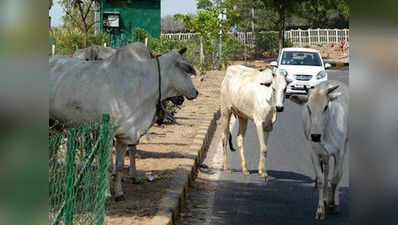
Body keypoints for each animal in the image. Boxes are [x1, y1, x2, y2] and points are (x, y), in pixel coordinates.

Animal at [50, 43, 199, 200]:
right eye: (185, 70)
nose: (196, 92)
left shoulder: (124, 134)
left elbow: (120, 165)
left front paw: (119, 192)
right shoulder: (108, 133)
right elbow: (108, 165)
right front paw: (106, 193)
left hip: (56, 125)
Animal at [290, 80, 348, 220]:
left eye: (326, 107)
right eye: (308, 107)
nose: (315, 136)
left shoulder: (339, 153)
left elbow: (336, 178)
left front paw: (333, 204)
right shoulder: (315, 153)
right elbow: (321, 180)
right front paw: (321, 209)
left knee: (338, 173)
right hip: (324, 155)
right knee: (326, 171)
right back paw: (326, 199)